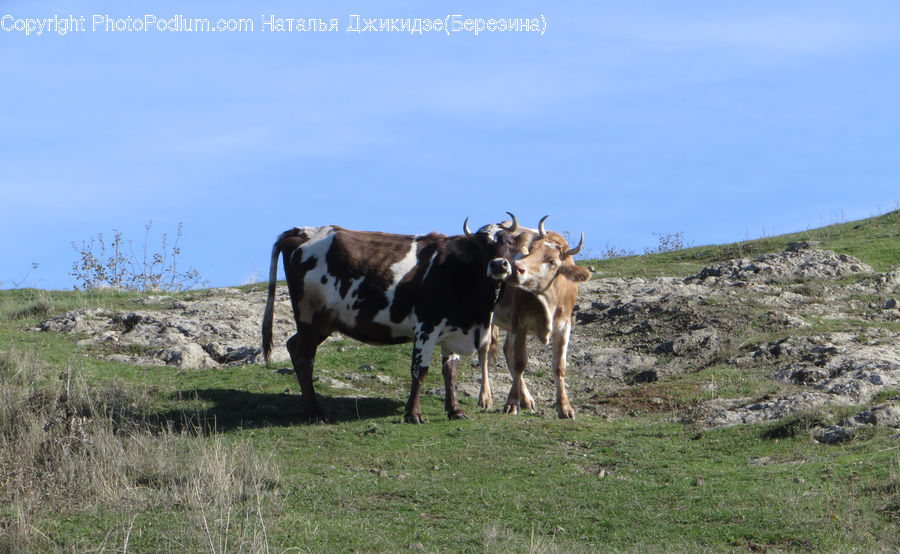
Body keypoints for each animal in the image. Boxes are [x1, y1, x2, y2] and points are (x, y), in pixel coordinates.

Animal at [261, 218, 517, 424]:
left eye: (509, 243)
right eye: (482, 245)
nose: (499, 264)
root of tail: (300, 231)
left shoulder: (452, 331)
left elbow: (450, 372)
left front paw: (455, 411)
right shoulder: (426, 326)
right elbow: (420, 371)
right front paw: (413, 414)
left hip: (323, 322)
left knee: (293, 346)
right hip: (309, 317)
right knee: (305, 358)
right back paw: (315, 413)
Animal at [477, 214, 591, 419]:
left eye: (552, 261)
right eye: (531, 251)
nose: (514, 267)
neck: (548, 300)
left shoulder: (564, 327)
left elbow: (559, 366)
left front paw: (564, 407)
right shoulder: (520, 324)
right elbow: (520, 362)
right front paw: (511, 403)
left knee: (507, 350)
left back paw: (526, 399)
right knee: (485, 351)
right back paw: (485, 397)